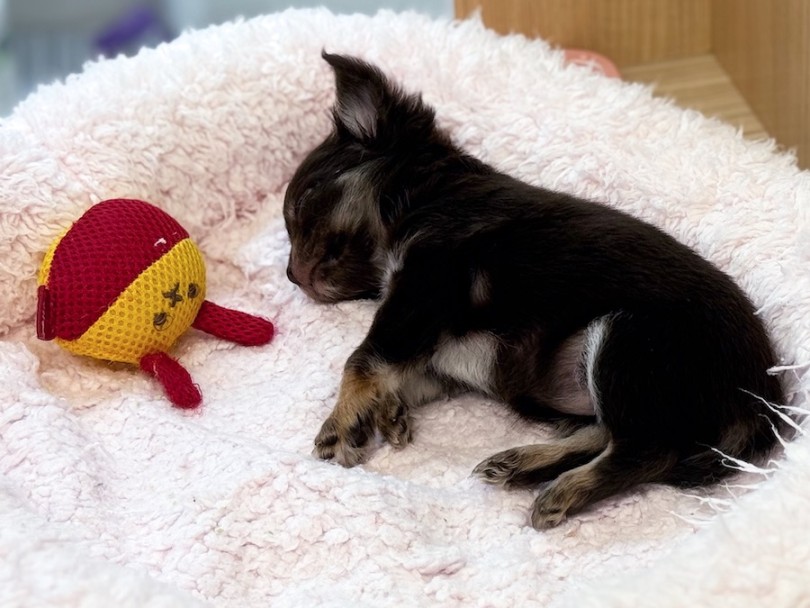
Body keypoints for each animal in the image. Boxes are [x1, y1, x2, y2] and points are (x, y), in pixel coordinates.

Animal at [284, 51, 784, 528]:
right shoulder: (437, 350)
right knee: (606, 433)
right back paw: (525, 464)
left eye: (304, 204)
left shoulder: (425, 285)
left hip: (627, 342)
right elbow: (400, 372)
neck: (425, 200)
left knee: (649, 450)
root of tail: (760, 397)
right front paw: (384, 412)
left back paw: (565, 491)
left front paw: (341, 422)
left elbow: (363, 359)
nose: (289, 274)